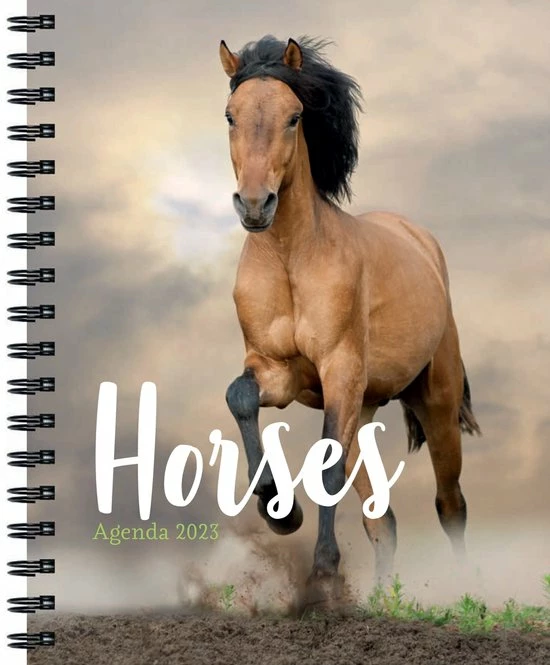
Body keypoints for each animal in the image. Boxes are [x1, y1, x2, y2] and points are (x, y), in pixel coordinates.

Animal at [220, 35, 481, 588]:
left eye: (295, 116)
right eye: (231, 115)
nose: (254, 205)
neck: (291, 260)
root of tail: (420, 240)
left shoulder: (339, 369)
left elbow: (326, 467)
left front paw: (323, 568)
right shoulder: (278, 373)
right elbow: (240, 397)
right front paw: (279, 510)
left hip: (436, 403)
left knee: (450, 505)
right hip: (362, 412)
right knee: (384, 521)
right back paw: (381, 598)